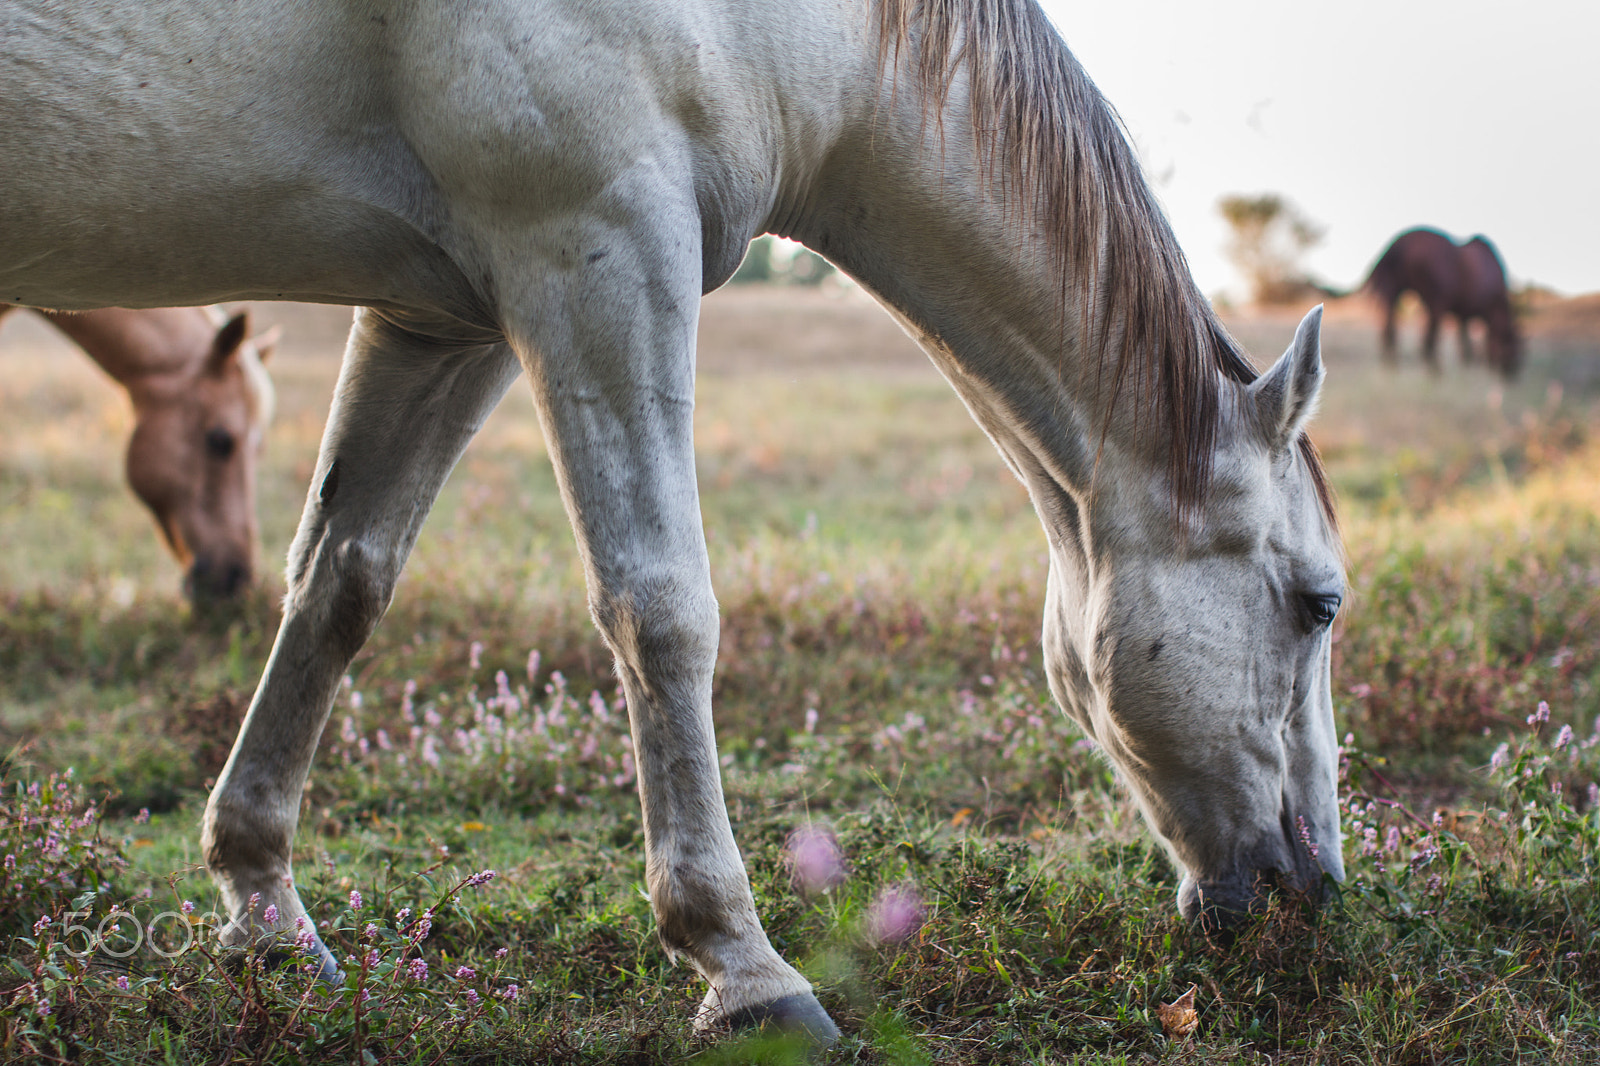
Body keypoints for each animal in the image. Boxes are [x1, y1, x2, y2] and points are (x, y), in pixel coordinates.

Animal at [1363, 225, 1523, 376]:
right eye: (1514, 347)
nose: (1513, 374)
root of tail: (1398, 244)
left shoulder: (1463, 315)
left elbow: (1465, 344)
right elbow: (1468, 343)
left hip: (1393, 292)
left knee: (1388, 328)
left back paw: (1391, 364)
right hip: (1435, 303)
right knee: (1428, 339)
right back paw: (1434, 369)